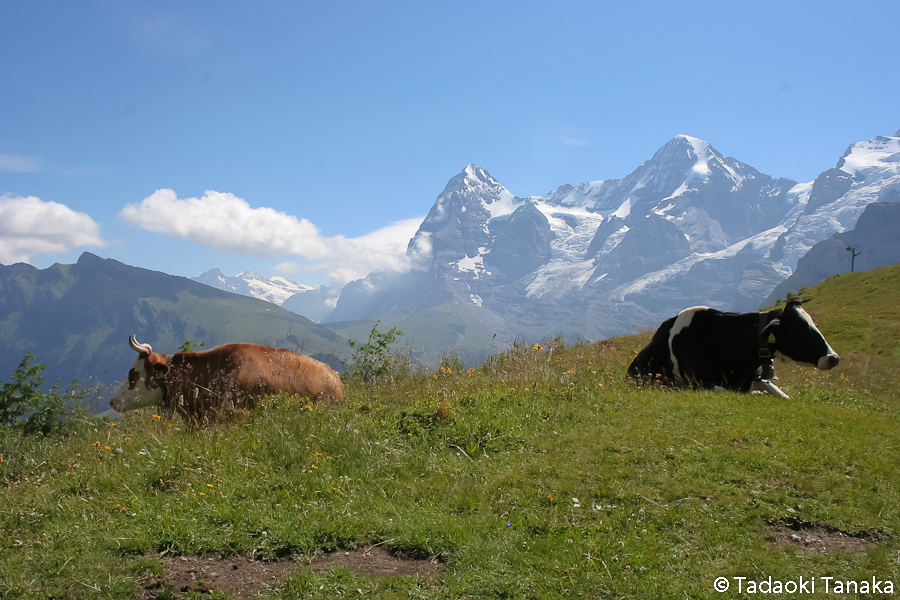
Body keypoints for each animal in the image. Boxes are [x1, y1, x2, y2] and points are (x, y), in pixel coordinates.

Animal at [628, 300, 840, 398]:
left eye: (814, 323)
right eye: (800, 329)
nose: (834, 358)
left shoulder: (753, 378)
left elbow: (784, 395)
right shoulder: (695, 382)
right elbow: (728, 391)